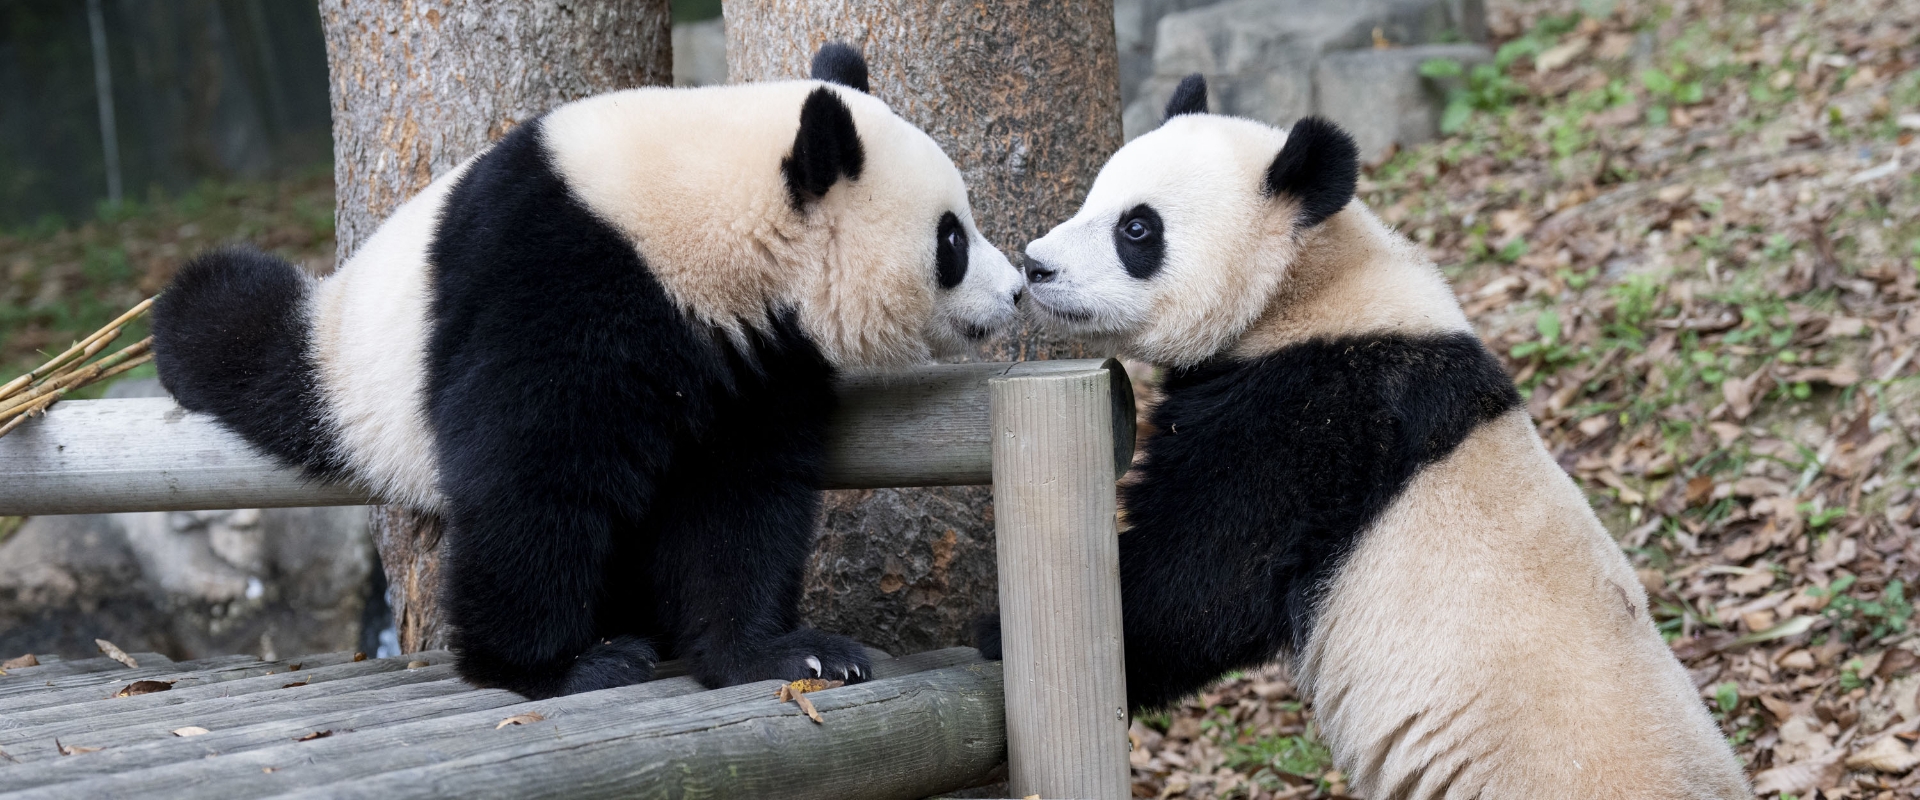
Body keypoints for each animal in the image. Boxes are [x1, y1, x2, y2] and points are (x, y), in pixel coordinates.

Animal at [151, 45, 1029, 698]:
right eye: (952, 240)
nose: (1017, 290)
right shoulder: (559, 276)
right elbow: (536, 472)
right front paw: (556, 666)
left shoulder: (752, 359)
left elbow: (736, 500)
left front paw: (785, 654)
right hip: (356, 366)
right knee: (244, 335)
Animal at [998, 73, 1751, 790]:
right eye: (1094, 196)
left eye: (1137, 229)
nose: (1035, 265)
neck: (1311, 286)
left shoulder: (1319, 416)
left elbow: (1203, 582)